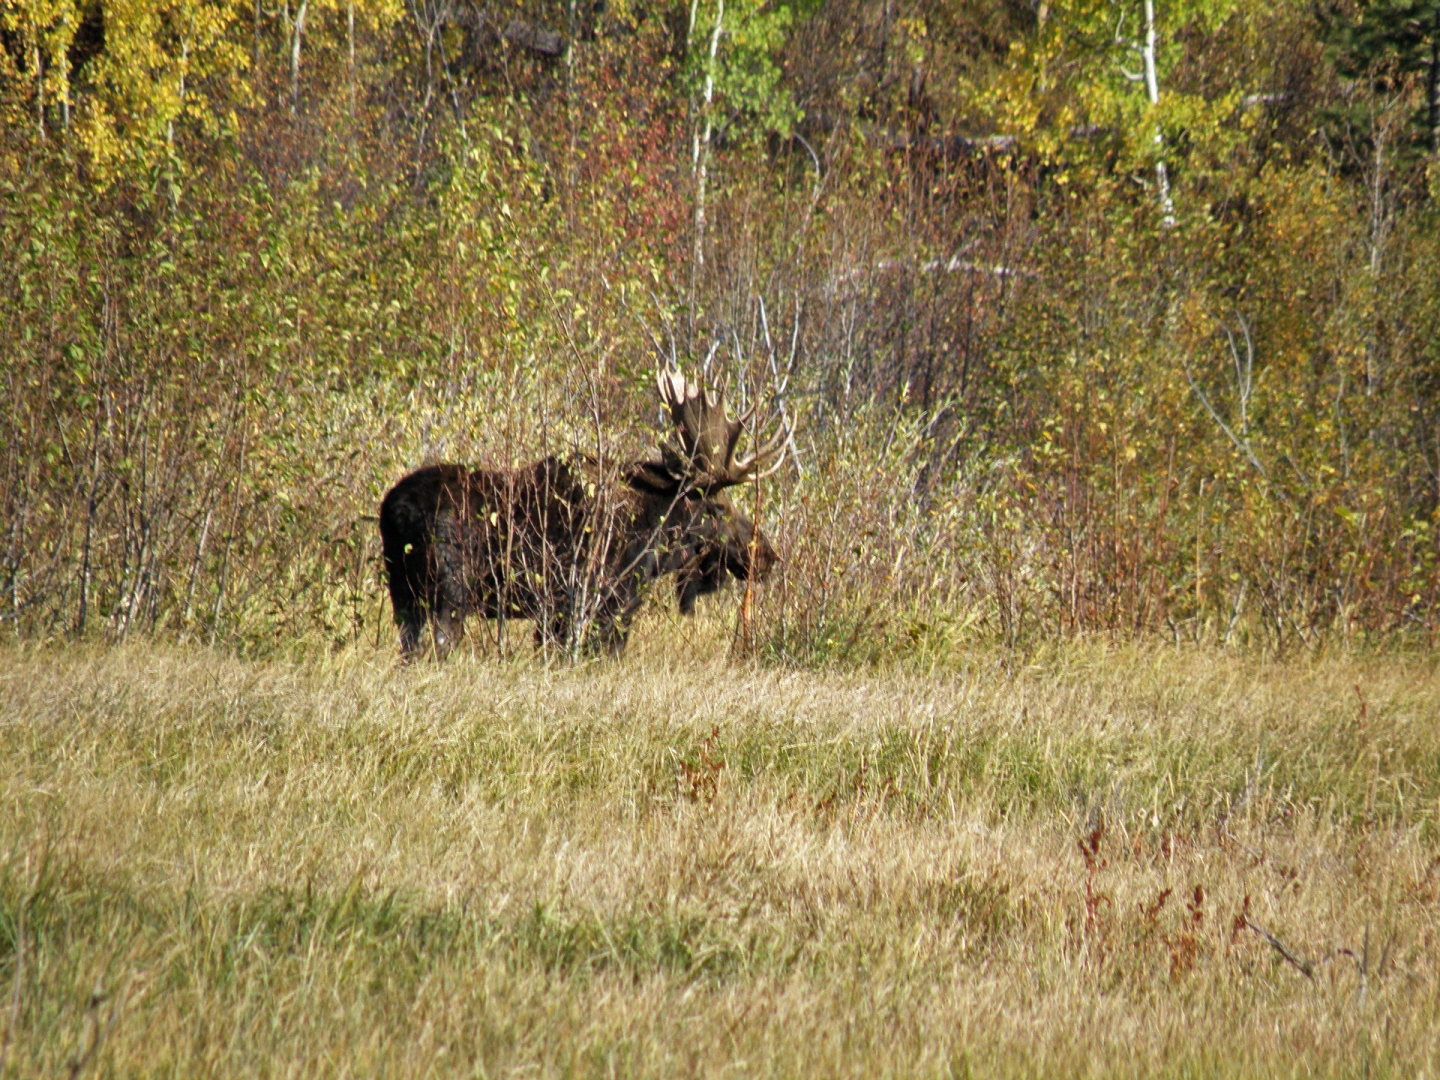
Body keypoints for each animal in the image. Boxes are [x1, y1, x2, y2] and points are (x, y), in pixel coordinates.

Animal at [378, 368, 786, 659]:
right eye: (719, 508)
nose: (767, 555)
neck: (653, 538)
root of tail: (394, 512)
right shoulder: (603, 601)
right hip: (449, 594)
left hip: (403, 595)